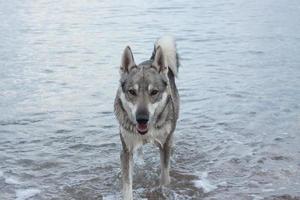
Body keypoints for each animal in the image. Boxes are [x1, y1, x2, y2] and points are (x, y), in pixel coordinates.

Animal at [114, 36, 180, 200]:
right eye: (132, 92)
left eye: (154, 92)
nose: (142, 119)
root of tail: (151, 59)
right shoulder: (126, 151)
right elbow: (127, 185)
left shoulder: (164, 145)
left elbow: (164, 177)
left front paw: (164, 191)